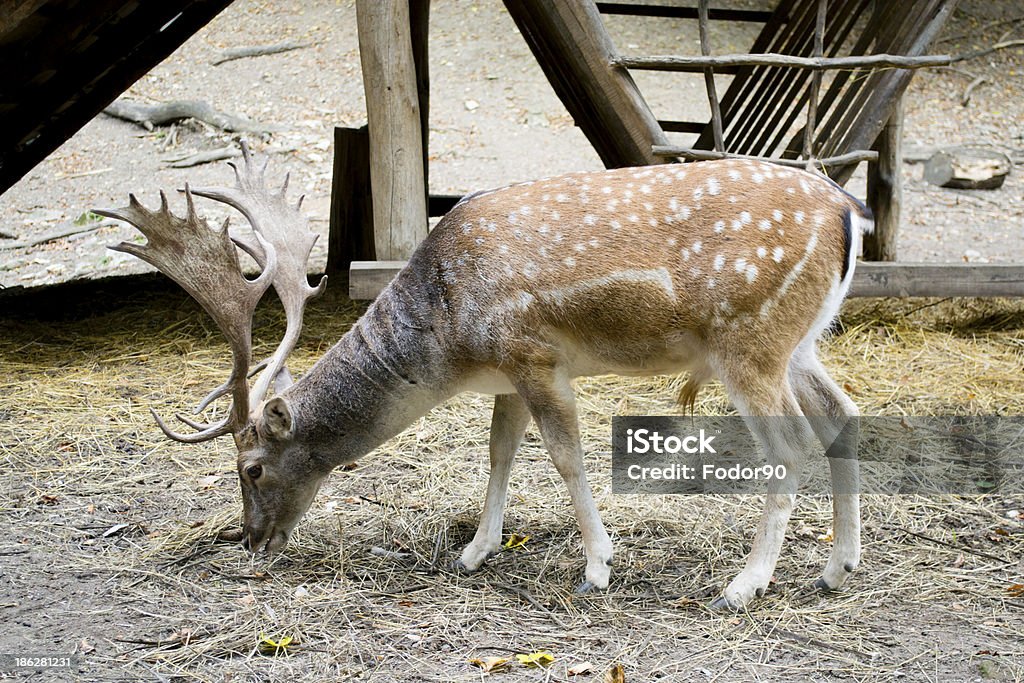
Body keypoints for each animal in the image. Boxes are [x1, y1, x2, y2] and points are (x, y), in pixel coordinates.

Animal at [96, 143, 868, 610]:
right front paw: (475, 551)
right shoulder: (505, 377)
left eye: (251, 467)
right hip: (801, 344)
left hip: (749, 340)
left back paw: (745, 584)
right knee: (845, 416)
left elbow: (565, 457)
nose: (250, 540)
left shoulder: (532, 354)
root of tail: (847, 213)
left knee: (791, 445)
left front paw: (597, 567)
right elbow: (499, 453)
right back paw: (837, 567)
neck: (450, 342)